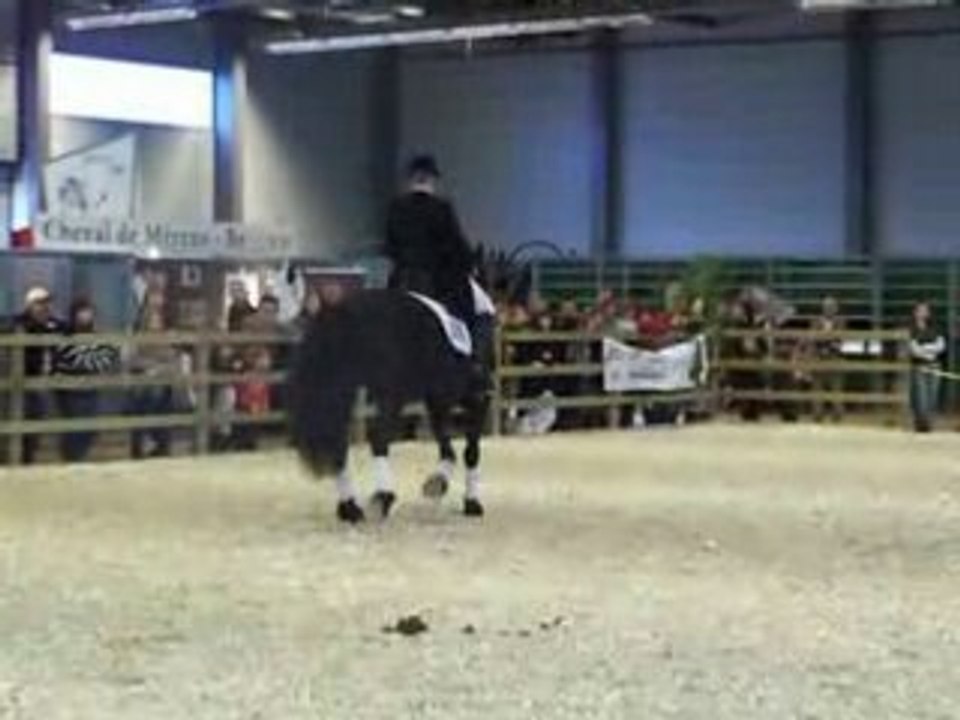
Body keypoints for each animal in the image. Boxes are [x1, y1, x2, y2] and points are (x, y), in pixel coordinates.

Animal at [287, 288, 495, 524]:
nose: (321, 464)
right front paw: (354, 506)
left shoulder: (393, 394)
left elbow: (379, 438)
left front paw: (381, 498)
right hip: (436, 400)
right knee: (449, 447)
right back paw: (438, 484)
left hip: (454, 397)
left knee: (470, 447)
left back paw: (470, 501)